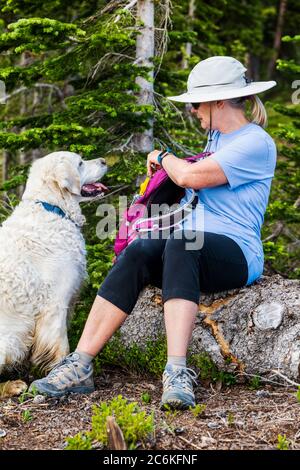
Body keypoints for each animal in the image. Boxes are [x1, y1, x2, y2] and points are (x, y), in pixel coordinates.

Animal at [0, 151, 108, 378]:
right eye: (80, 163)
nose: (104, 161)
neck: (53, 208)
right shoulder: (56, 302)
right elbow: (60, 344)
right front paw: (59, 370)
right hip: (10, 339)